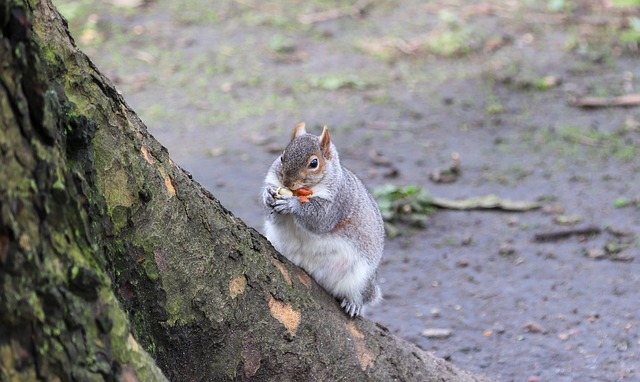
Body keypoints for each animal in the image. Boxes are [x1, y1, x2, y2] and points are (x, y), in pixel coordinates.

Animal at [262, 122, 384, 316]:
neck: (305, 190)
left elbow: (319, 219)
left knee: (361, 295)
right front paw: (268, 196)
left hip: (361, 278)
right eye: (282, 157)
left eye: (314, 163)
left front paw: (291, 204)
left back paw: (353, 303)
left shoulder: (338, 202)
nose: (287, 182)